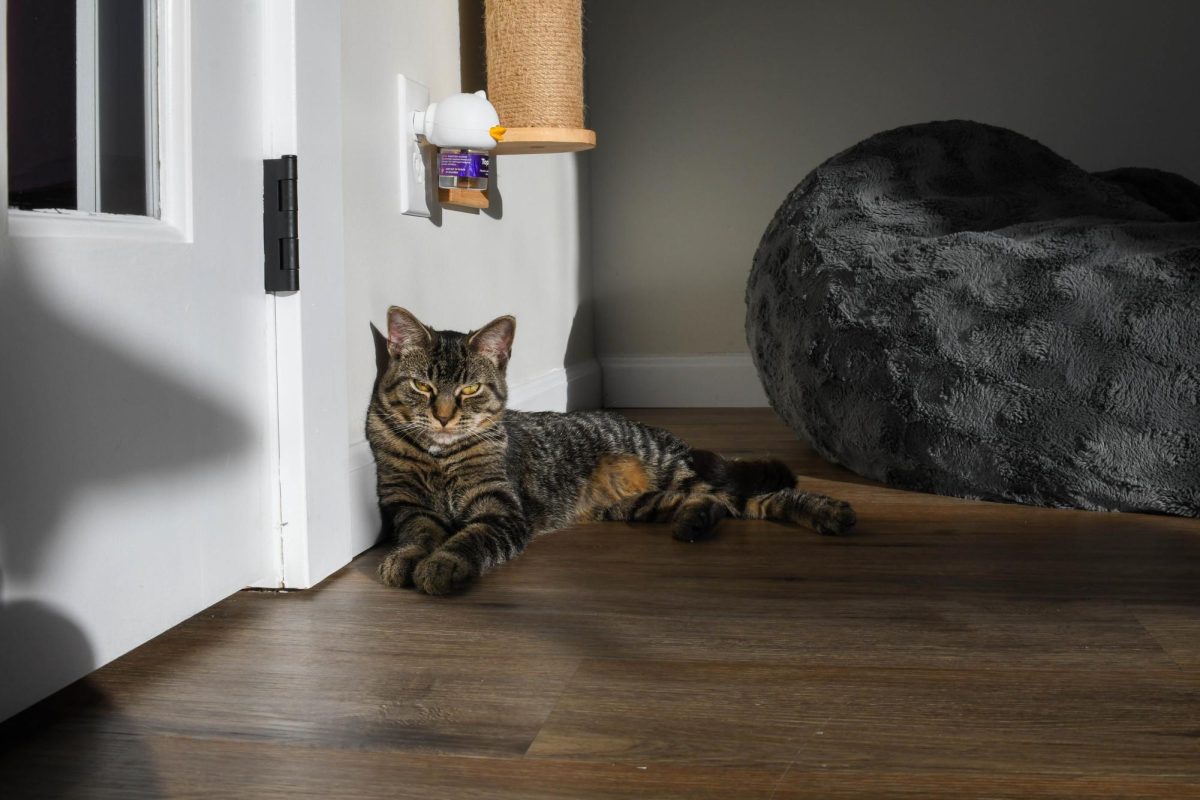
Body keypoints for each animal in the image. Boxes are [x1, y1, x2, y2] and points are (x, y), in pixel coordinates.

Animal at [364, 307, 854, 594]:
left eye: (469, 389)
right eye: (422, 386)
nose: (445, 416)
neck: (438, 456)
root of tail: (667, 438)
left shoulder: (501, 511)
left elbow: (468, 538)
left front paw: (441, 565)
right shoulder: (407, 506)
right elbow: (418, 535)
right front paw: (405, 559)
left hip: (676, 473)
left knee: (756, 495)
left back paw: (829, 512)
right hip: (641, 503)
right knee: (719, 503)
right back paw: (694, 522)